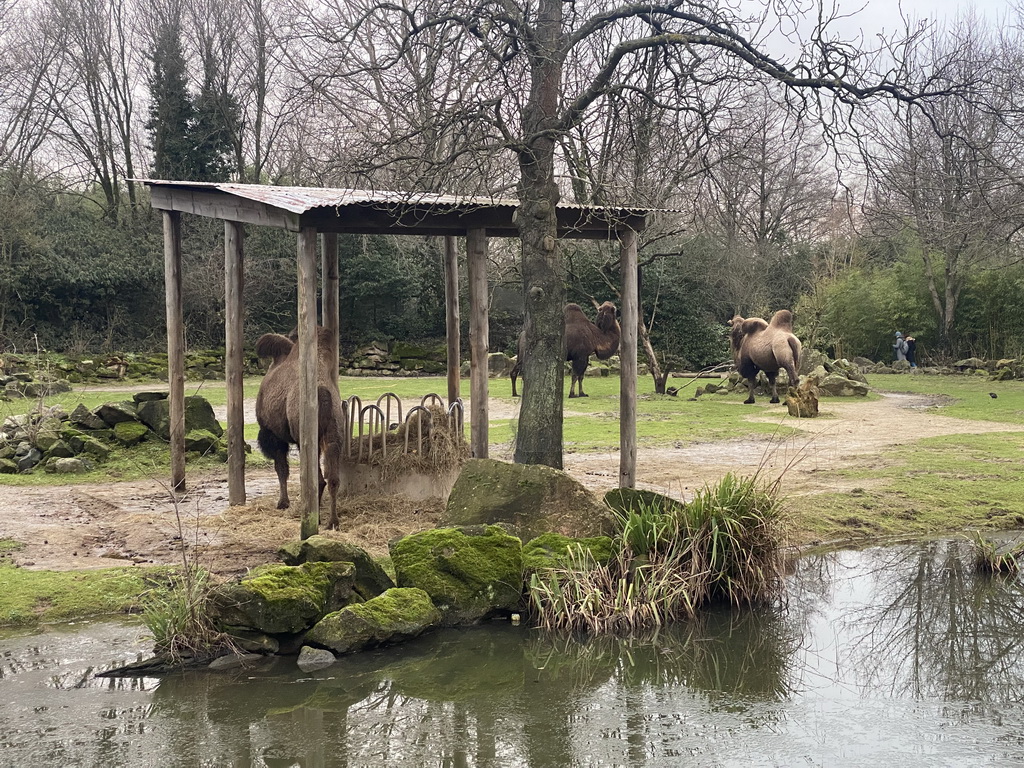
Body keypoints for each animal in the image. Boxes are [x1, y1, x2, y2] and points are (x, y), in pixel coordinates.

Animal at [254, 327, 344, 532]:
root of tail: (323, 395)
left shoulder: (274, 436)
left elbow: (281, 469)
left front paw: (282, 503)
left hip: (307, 442)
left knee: (317, 480)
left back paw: (314, 518)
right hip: (333, 438)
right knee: (332, 479)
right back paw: (332, 522)